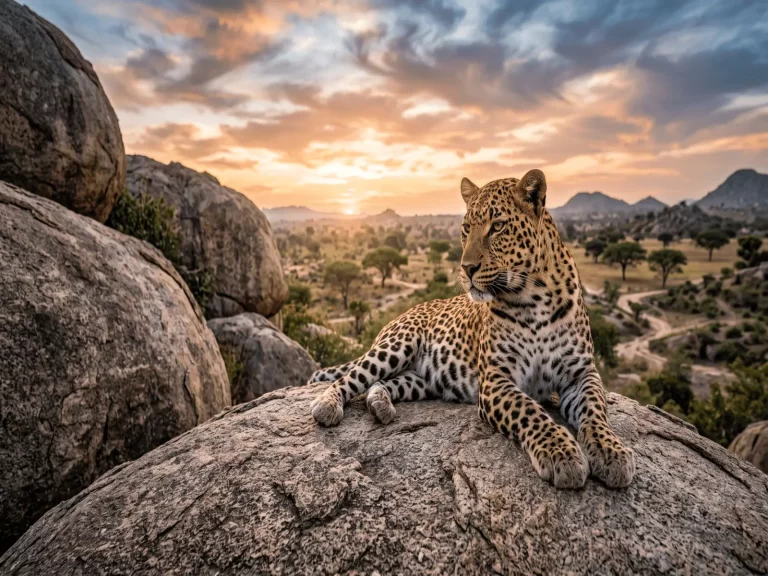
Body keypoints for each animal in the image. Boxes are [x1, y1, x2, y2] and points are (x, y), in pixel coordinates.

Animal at [309, 169, 636, 489]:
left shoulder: (581, 372)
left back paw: (380, 404)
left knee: (379, 384)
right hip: (396, 346)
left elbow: (596, 410)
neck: (536, 296)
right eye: (466, 228)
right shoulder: (495, 379)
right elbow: (530, 412)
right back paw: (327, 405)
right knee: (350, 378)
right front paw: (561, 452)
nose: (466, 269)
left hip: (422, 380)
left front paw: (611, 451)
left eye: (498, 226)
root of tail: (404, 314)